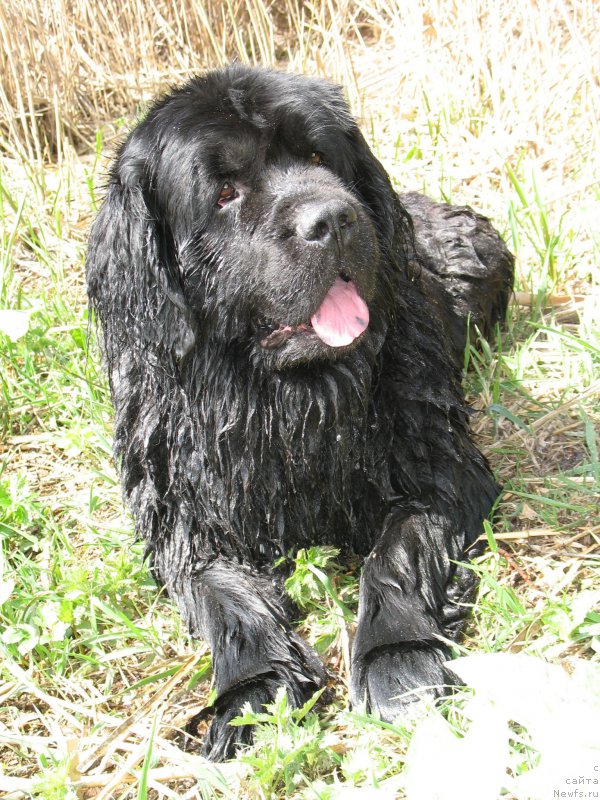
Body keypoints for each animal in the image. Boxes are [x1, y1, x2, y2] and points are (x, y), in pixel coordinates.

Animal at [86, 65, 512, 760]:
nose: (334, 218)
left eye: (319, 157)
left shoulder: (441, 472)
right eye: (224, 192)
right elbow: (224, 598)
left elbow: (395, 556)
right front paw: (252, 692)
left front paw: (398, 661)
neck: (284, 400)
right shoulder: (182, 519)